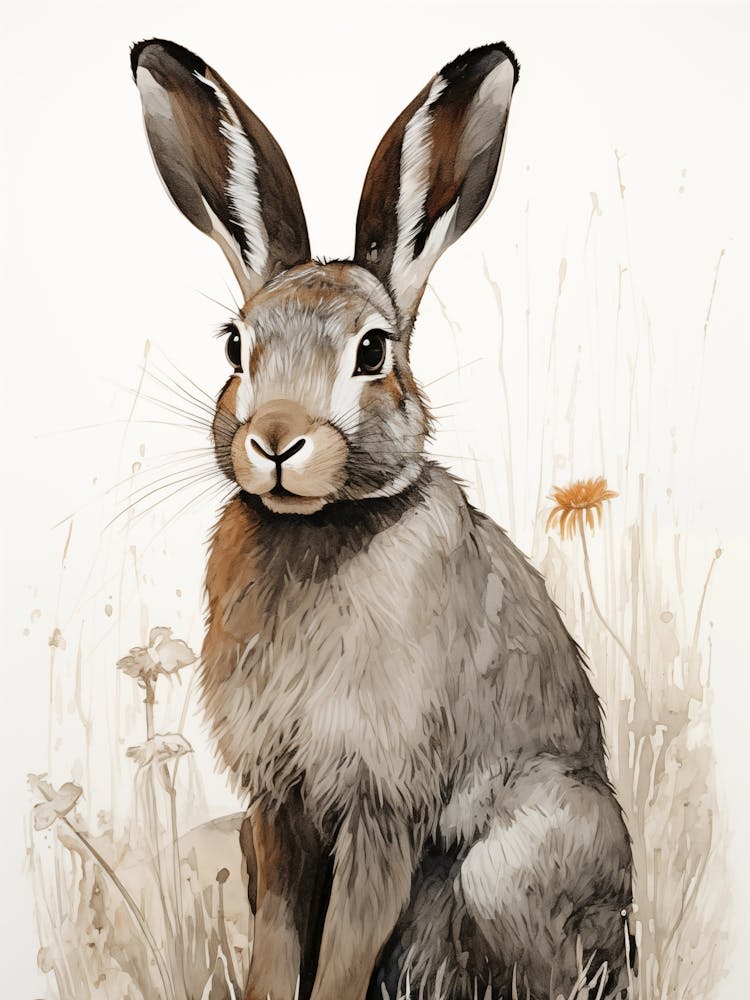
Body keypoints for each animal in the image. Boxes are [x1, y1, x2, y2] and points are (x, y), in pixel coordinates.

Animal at [131, 38, 633, 1000]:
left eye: (372, 350)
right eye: (236, 345)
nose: (276, 441)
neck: (321, 526)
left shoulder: (384, 802)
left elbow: (344, 951)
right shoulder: (278, 808)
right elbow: (279, 942)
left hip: (514, 862)